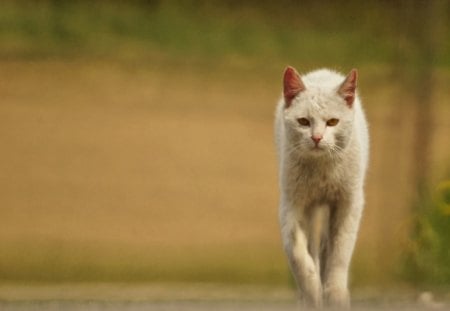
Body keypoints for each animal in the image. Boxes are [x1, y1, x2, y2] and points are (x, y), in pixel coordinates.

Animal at [274, 66, 370, 310]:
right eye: (303, 121)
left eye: (333, 122)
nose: (316, 138)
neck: (321, 170)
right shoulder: (292, 203)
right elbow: (297, 252)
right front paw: (312, 292)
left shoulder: (349, 203)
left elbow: (339, 252)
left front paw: (335, 295)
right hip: (310, 210)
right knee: (314, 247)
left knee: (327, 247)